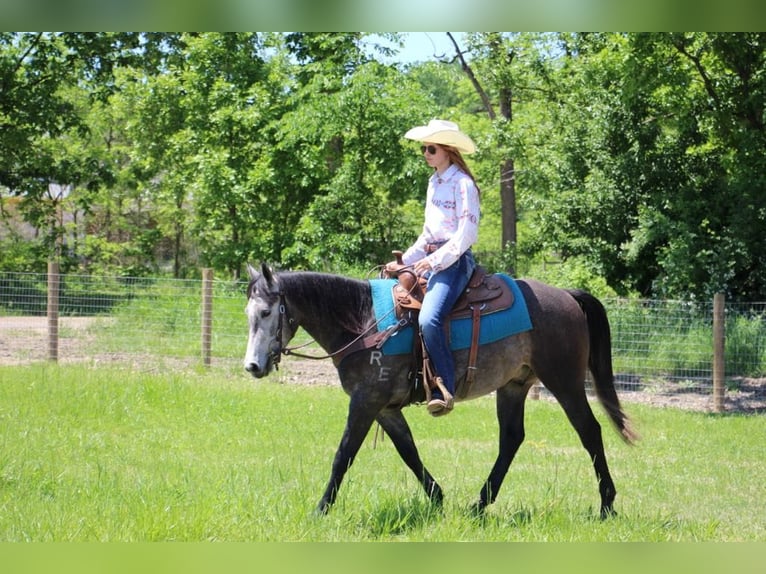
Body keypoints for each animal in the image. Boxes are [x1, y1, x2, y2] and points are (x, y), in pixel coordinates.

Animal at [243, 262, 636, 518]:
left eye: (266, 312)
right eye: (248, 314)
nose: (252, 367)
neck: (364, 321)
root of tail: (567, 296)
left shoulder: (365, 402)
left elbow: (344, 455)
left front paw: (320, 510)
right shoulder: (384, 408)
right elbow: (408, 451)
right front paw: (437, 498)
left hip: (564, 381)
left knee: (590, 432)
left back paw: (607, 505)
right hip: (513, 385)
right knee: (512, 438)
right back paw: (479, 504)